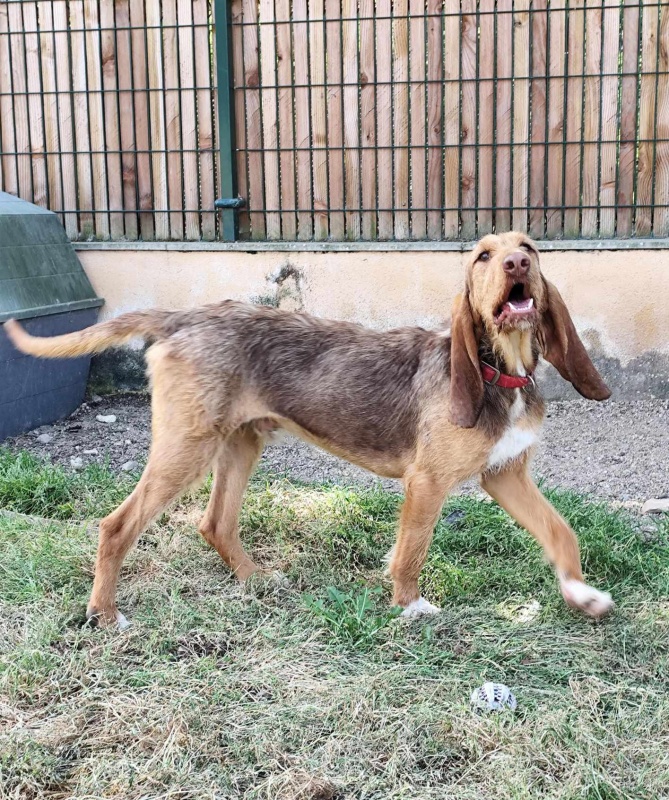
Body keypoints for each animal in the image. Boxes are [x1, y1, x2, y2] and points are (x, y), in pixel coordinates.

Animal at [4, 232, 614, 628]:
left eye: (530, 248)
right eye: (483, 255)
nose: (516, 264)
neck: (499, 372)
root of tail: (183, 317)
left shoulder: (505, 475)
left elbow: (562, 532)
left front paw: (582, 595)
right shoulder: (427, 483)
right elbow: (412, 551)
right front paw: (409, 606)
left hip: (241, 444)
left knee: (214, 523)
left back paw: (254, 579)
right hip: (187, 448)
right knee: (117, 525)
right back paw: (104, 613)